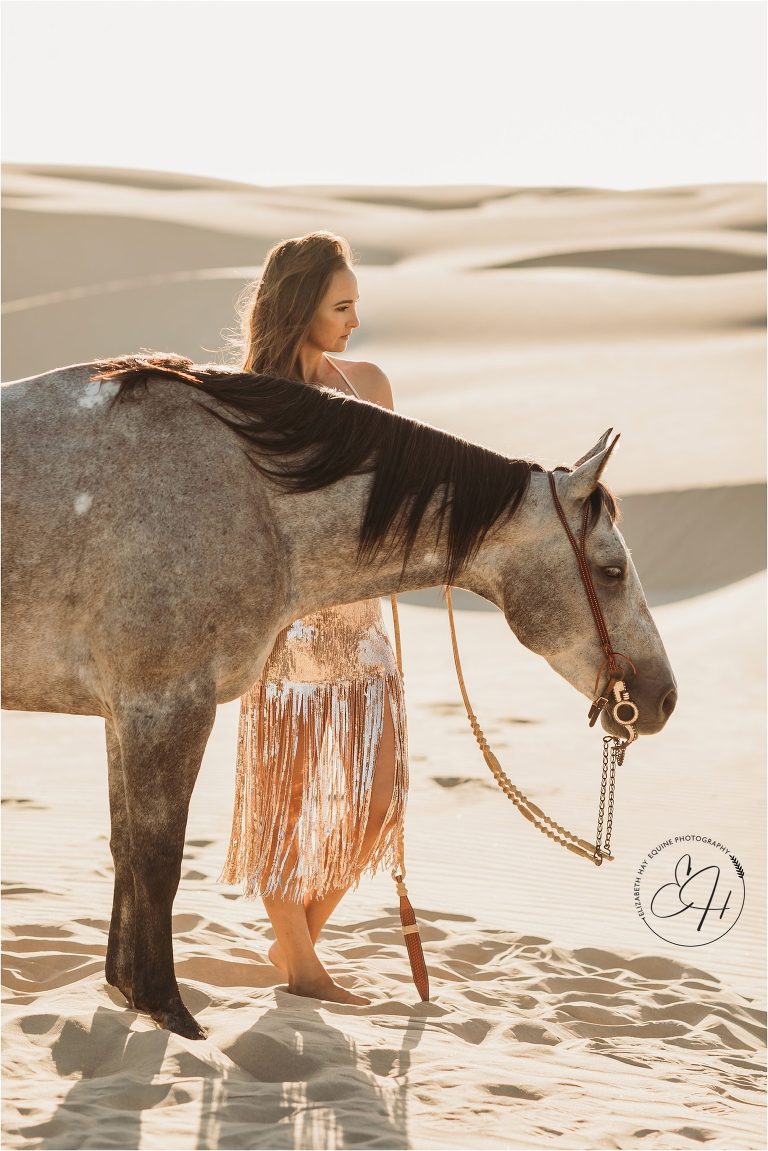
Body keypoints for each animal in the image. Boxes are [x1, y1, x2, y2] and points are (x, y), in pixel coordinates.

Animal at [1, 354, 677, 1039]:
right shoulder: (166, 708)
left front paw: (125, 988)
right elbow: (158, 860)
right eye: (611, 571)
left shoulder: (126, 716)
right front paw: (167, 1006)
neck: (251, 498)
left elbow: (125, 850)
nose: (664, 697)